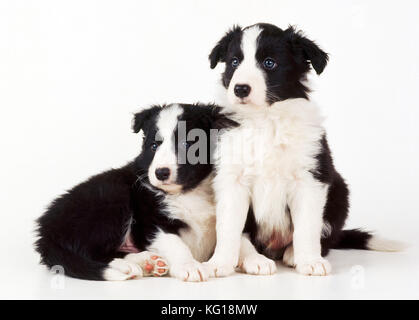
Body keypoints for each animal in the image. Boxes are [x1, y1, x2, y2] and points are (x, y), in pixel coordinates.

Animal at [35, 104, 240, 282]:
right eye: (154, 146)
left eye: (187, 144)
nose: (161, 173)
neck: (189, 192)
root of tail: (46, 233)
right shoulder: (152, 223)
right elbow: (175, 243)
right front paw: (189, 266)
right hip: (111, 198)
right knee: (94, 254)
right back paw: (127, 267)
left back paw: (147, 262)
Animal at [206, 23, 404, 276]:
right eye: (234, 62)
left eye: (269, 63)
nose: (240, 89)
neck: (266, 119)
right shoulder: (232, 179)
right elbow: (229, 227)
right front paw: (219, 263)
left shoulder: (310, 178)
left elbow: (307, 226)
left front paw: (309, 261)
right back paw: (254, 260)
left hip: (339, 192)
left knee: (325, 237)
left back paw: (292, 254)